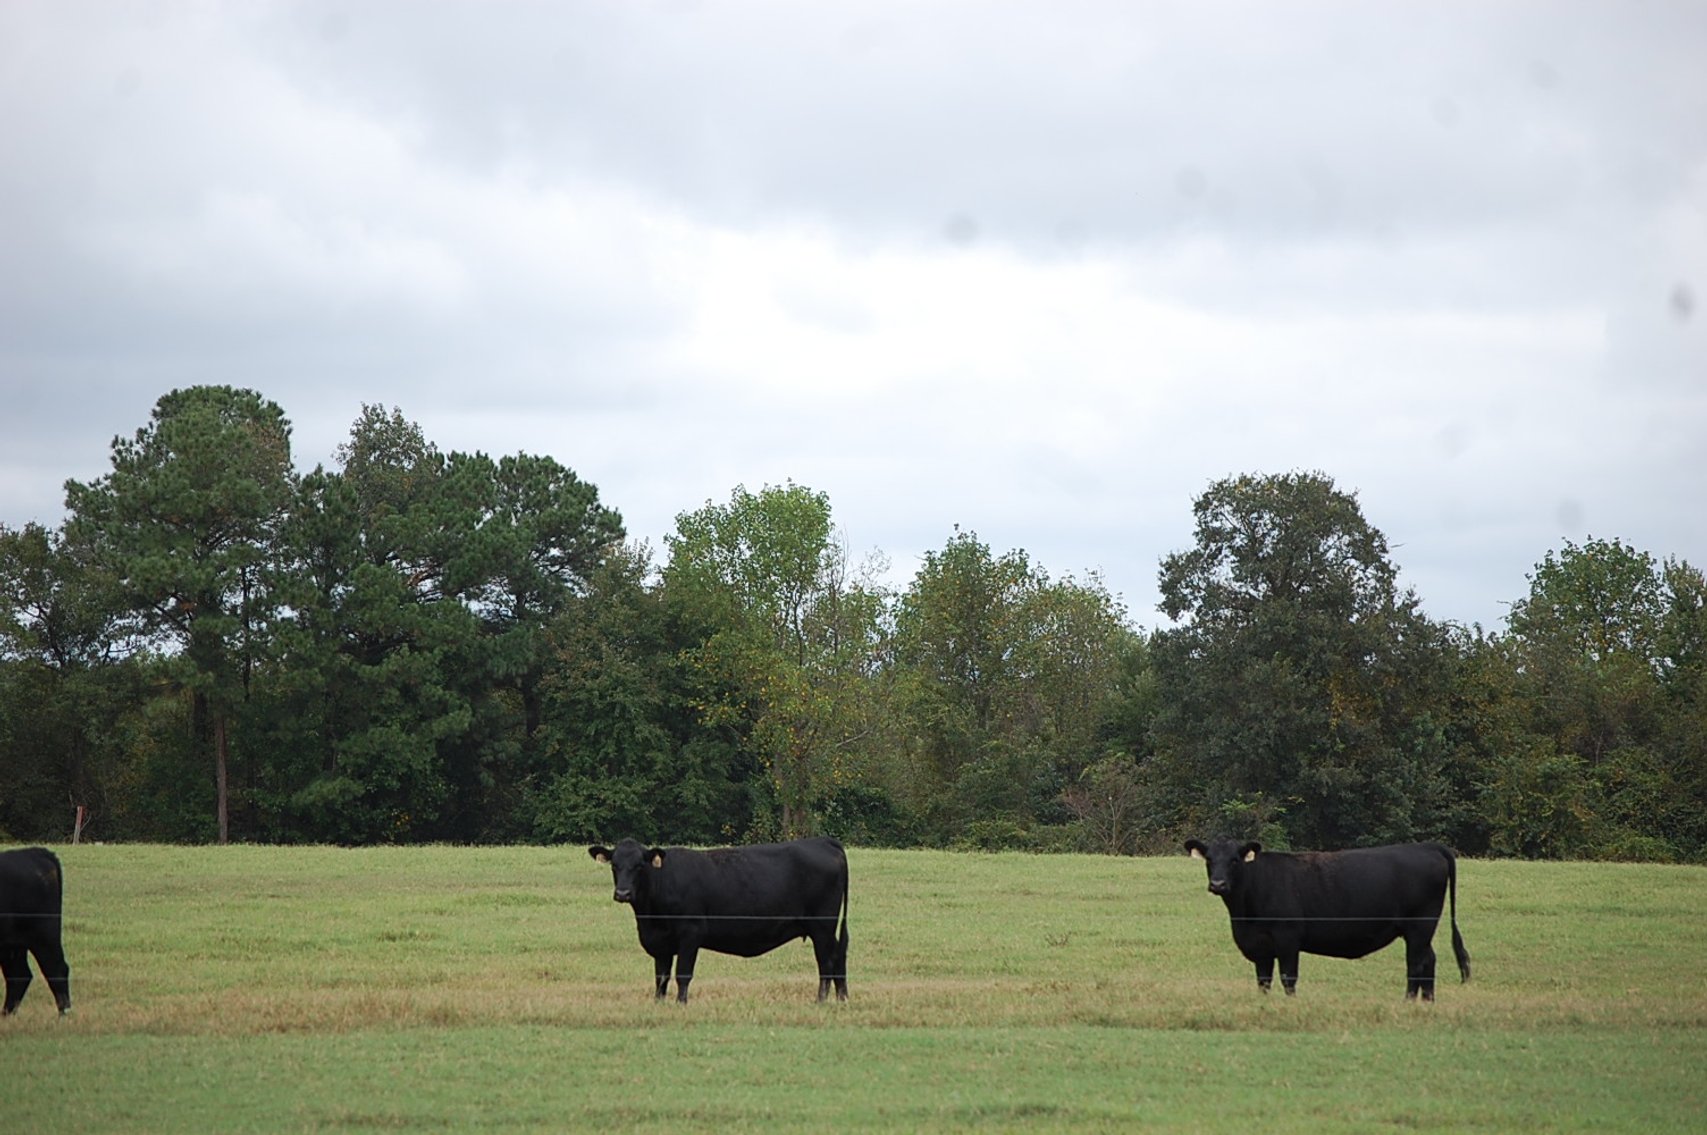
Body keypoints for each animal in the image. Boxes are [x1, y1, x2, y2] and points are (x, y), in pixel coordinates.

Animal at [1, 847, 72, 1016]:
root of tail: (33, 853)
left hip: (44, 937)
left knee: (56, 969)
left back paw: (63, 1015)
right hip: (13, 946)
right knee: (18, 975)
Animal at [588, 837, 849, 1004]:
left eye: (640, 865)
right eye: (614, 865)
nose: (622, 893)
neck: (650, 917)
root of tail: (822, 841)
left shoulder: (690, 933)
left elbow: (683, 973)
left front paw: (681, 1004)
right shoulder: (660, 943)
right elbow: (660, 977)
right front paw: (658, 1004)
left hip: (822, 926)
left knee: (826, 962)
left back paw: (821, 1001)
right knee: (838, 956)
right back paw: (841, 998)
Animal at [1184, 838, 1470, 1000]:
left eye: (1235, 860)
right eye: (1209, 859)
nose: (1218, 884)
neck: (1244, 915)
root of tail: (1427, 846)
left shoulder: (1287, 938)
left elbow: (1288, 977)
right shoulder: (1260, 945)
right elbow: (1263, 981)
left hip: (1420, 926)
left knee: (1416, 964)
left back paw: (1408, 1002)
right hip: (1420, 931)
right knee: (1428, 960)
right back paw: (1426, 1002)